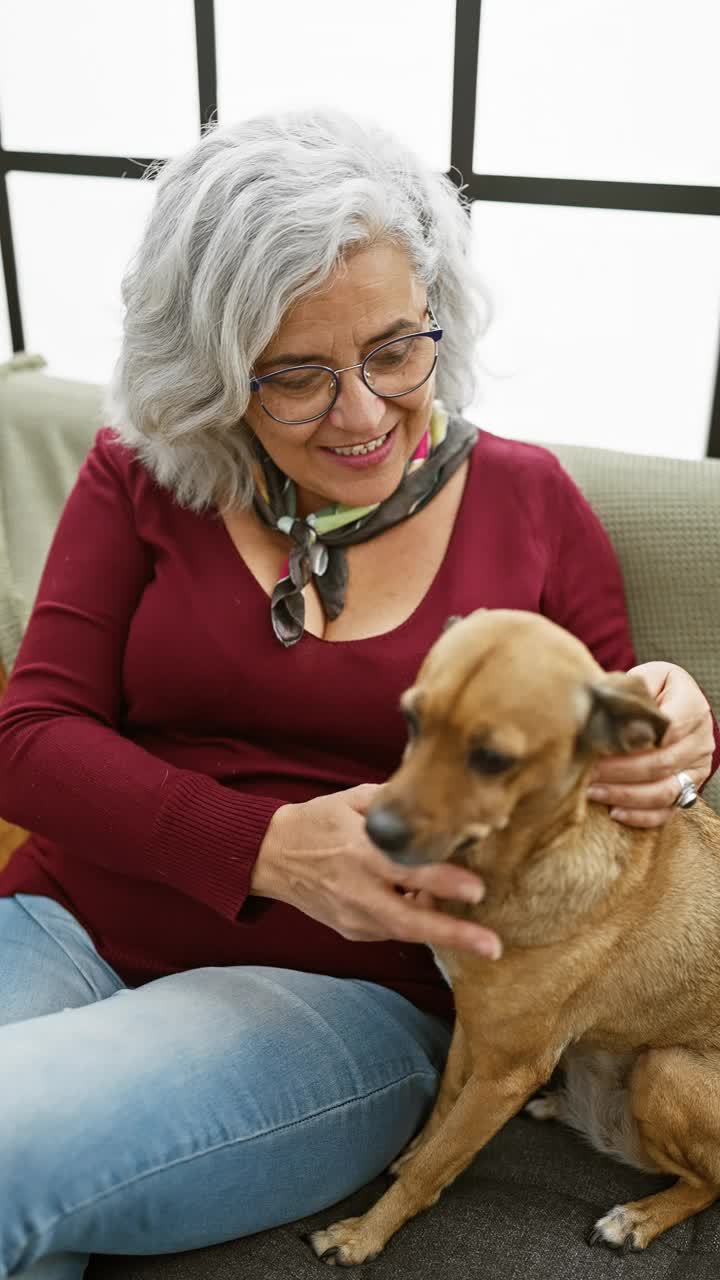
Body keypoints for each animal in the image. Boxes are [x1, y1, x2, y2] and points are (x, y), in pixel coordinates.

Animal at [304, 606, 717, 1259]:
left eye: (493, 759)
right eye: (411, 720)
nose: (376, 832)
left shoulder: (505, 1072)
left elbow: (436, 1163)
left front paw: (363, 1234)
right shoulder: (473, 1024)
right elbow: (444, 1111)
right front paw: (414, 1155)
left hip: (666, 1070)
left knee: (708, 1183)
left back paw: (637, 1218)